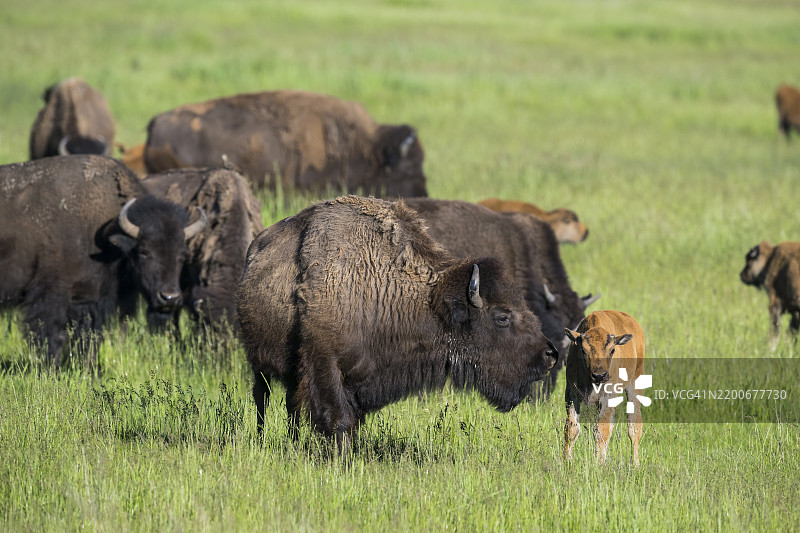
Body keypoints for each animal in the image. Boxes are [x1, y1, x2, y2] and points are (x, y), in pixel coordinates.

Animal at [0, 155, 206, 366]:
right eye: (144, 251)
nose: (169, 298)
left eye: (183, 254)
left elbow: (89, 338)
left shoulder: (91, 299)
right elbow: (53, 336)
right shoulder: (51, 294)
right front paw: (51, 368)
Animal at [235, 195, 558, 453]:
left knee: (291, 405)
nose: (550, 354)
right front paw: (342, 462)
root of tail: (255, 249)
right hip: (259, 365)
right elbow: (337, 420)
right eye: (502, 316)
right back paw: (263, 441)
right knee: (263, 400)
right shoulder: (326, 364)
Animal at [563, 310, 646, 466]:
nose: (599, 375)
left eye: (612, 350)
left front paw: (599, 463)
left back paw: (636, 464)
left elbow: (601, 429)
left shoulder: (607, 396)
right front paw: (567, 461)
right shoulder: (572, 394)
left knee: (634, 425)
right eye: (583, 350)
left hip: (635, 383)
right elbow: (571, 428)